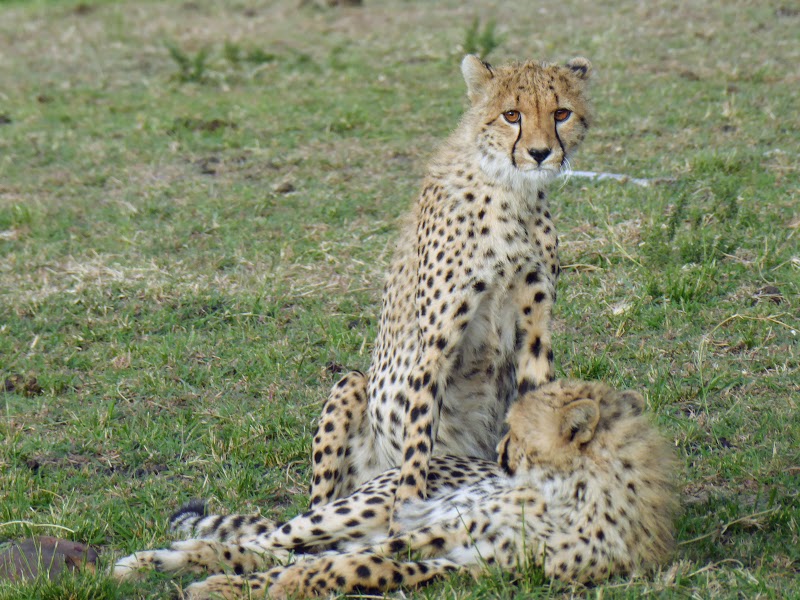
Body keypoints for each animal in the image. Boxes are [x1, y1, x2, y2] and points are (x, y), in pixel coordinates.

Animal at [115, 382, 680, 596]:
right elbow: (366, 557)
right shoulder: (443, 527)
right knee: (262, 542)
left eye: (515, 431)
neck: (570, 493)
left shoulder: (480, 563)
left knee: (278, 553)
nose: (498, 453)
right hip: (361, 506)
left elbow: (374, 567)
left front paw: (302, 583)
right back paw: (159, 563)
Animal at [308, 55, 592, 516]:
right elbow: (419, 437)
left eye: (561, 113)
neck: (511, 193)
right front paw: (406, 510)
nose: (540, 153)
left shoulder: (535, 327)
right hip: (350, 384)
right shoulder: (437, 343)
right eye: (512, 115)